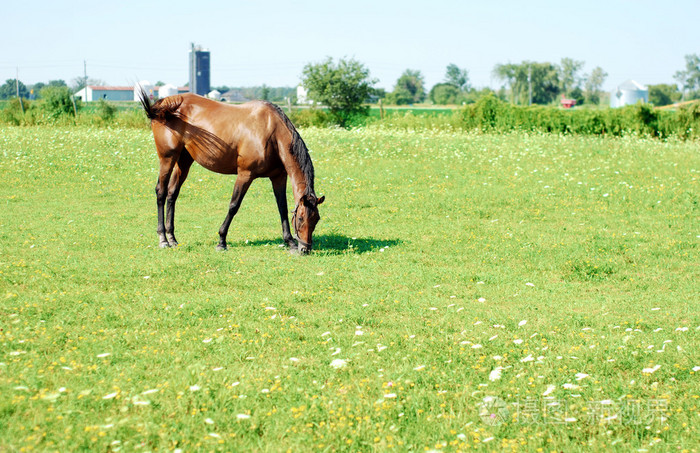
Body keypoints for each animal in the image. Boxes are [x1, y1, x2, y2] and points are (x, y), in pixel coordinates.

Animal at [138, 87, 324, 254]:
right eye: (300, 218)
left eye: (317, 219)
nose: (305, 249)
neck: (271, 132)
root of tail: (162, 104)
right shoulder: (245, 175)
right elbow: (234, 205)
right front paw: (221, 241)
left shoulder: (278, 177)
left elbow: (282, 208)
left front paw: (289, 241)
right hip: (167, 159)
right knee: (161, 192)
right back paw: (163, 239)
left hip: (183, 161)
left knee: (172, 194)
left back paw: (172, 238)